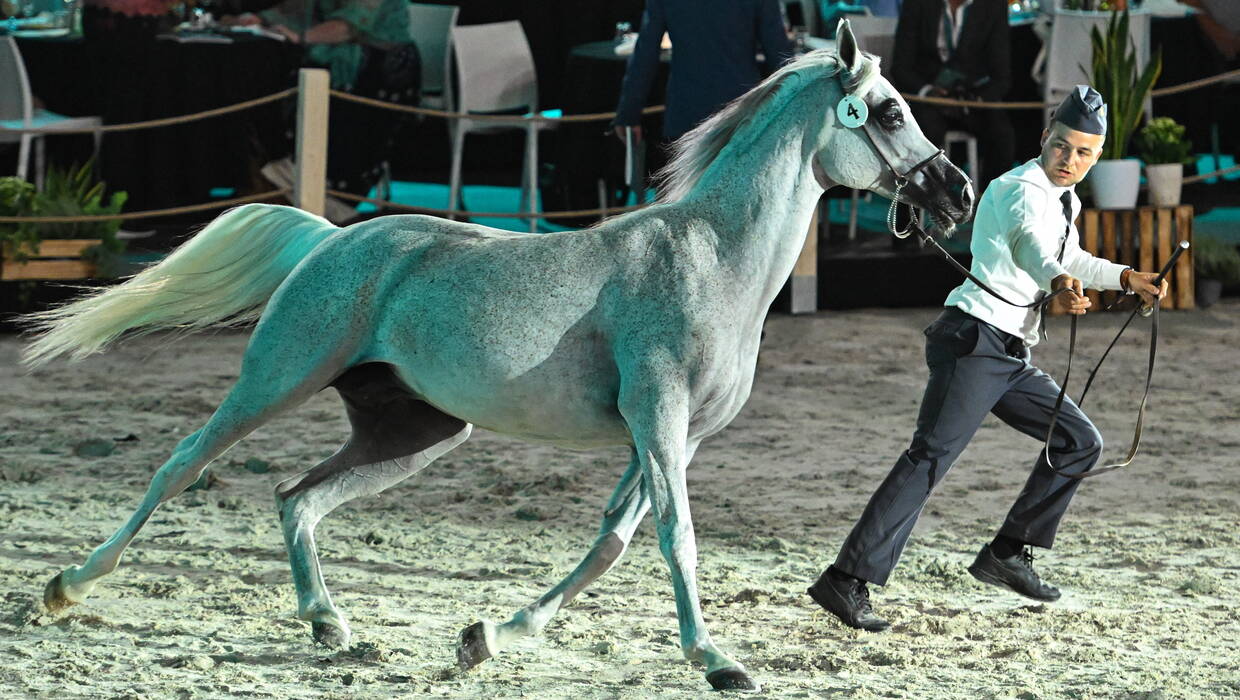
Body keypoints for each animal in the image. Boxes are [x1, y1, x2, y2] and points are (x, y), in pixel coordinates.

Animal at [21, 23, 967, 693]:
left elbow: (612, 541)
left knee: (297, 497)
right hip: (277, 379)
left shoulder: (673, 437)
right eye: (888, 111)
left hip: (416, 431)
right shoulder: (658, 419)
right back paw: (67, 587)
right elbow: (676, 537)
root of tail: (335, 236)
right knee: (182, 464)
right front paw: (718, 660)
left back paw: (329, 624)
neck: (709, 258)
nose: (955, 191)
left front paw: (489, 637)